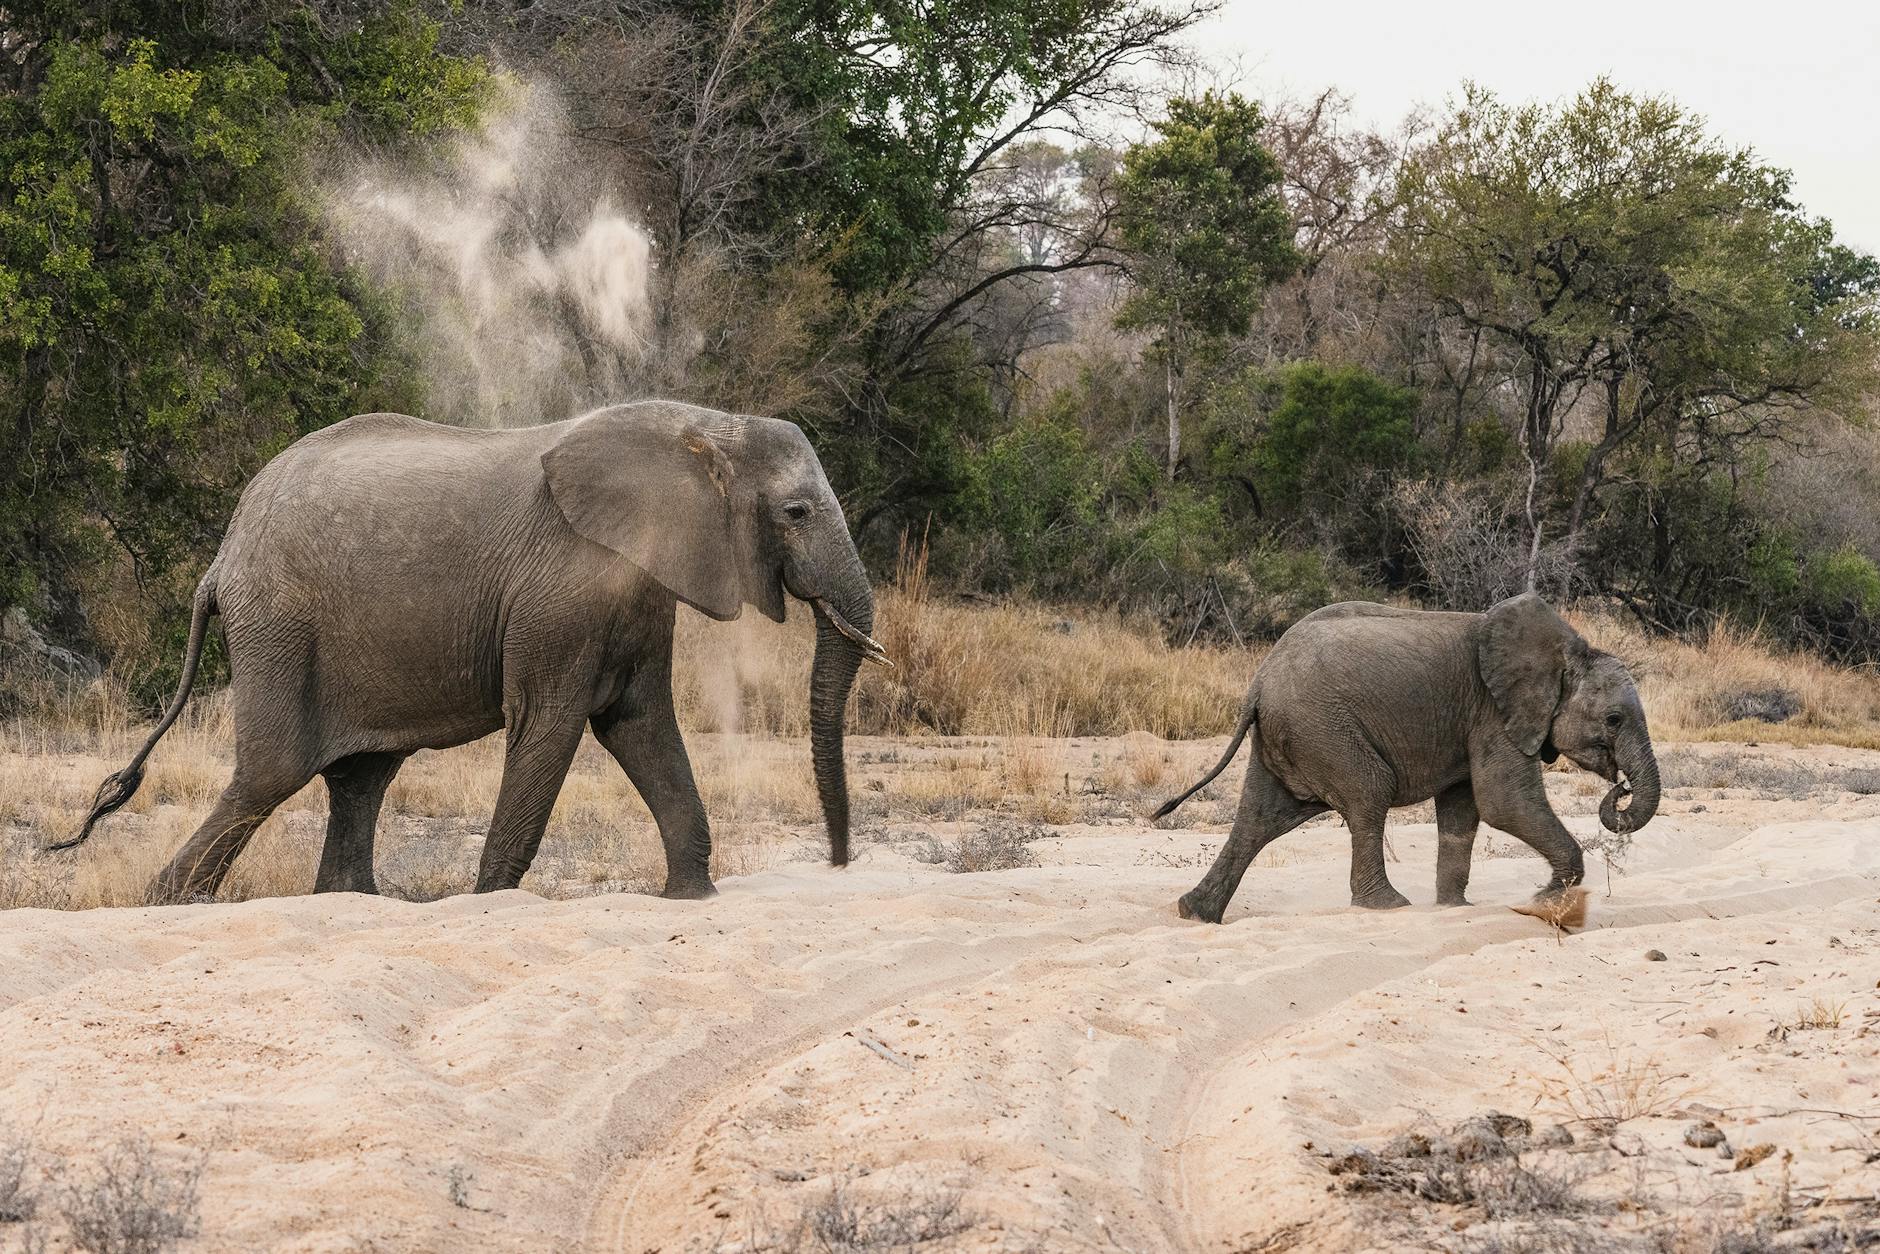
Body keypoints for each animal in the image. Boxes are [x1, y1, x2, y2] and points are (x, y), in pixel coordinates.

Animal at [55, 400, 889, 905]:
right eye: (796, 512)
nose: (840, 862)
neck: (707, 425)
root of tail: (221, 558)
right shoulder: (562, 591)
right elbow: (551, 726)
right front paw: (491, 902)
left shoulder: (635, 590)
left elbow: (640, 726)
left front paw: (692, 898)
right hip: (279, 624)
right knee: (271, 774)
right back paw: (165, 903)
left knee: (359, 777)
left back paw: (346, 900)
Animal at [1153, 594, 1659, 923]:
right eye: (1614, 719)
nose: (1620, 786)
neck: (1565, 651)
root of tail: (1258, 681)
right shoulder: (1493, 713)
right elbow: (1504, 802)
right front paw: (1545, 903)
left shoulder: (1473, 721)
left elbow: (1463, 812)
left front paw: (1457, 909)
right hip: (1322, 726)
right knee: (1367, 793)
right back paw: (1387, 906)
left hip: (1293, 732)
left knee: (1259, 818)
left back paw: (1195, 914)